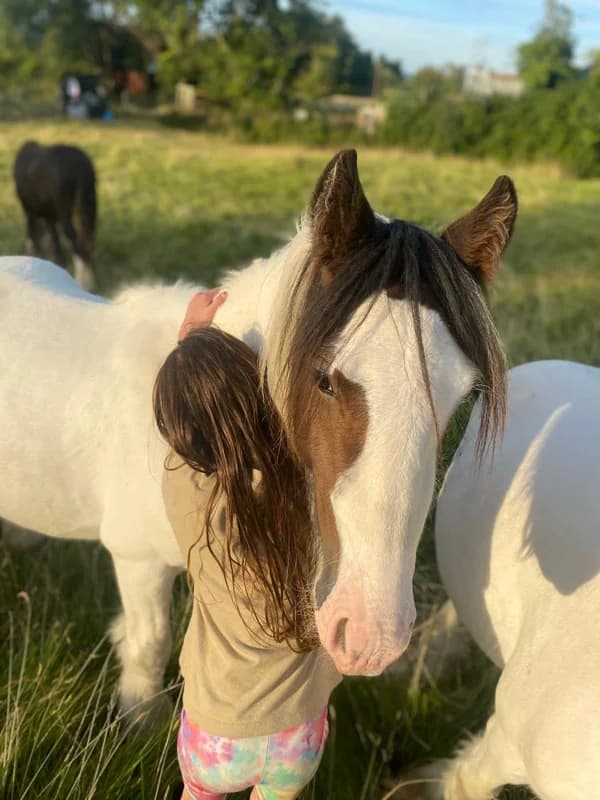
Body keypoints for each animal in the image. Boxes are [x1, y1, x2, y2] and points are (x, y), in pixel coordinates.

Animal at [13, 141, 97, 291]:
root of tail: (80, 165)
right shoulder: (49, 215)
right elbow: (53, 240)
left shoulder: (30, 210)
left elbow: (35, 236)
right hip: (89, 207)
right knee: (87, 243)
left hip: (64, 214)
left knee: (77, 245)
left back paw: (82, 283)